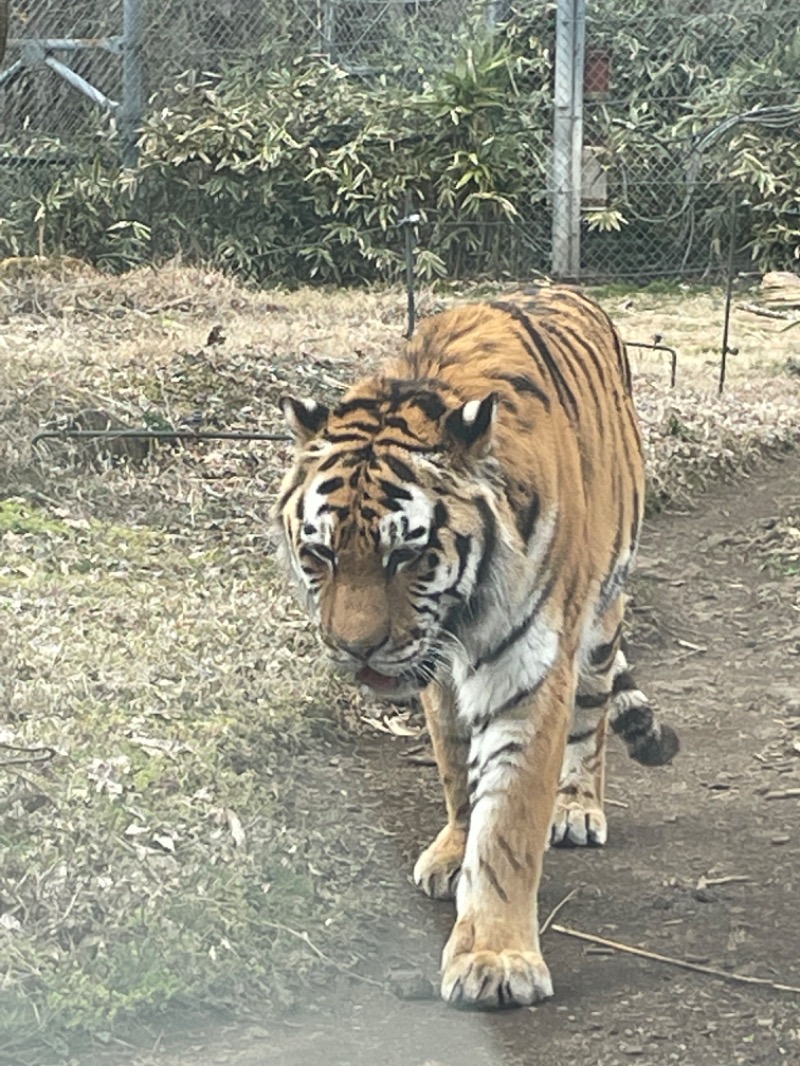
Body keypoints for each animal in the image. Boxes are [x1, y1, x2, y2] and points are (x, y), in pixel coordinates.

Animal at [275, 287, 678, 1010]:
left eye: (405, 554)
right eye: (320, 554)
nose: (355, 651)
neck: (459, 614)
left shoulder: (529, 669)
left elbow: (509, 819)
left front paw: (495, 956)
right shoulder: (434, 667)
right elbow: (457, 768)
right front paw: (453, 853)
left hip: (602, 616)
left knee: (592, 719)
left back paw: (578, 806)